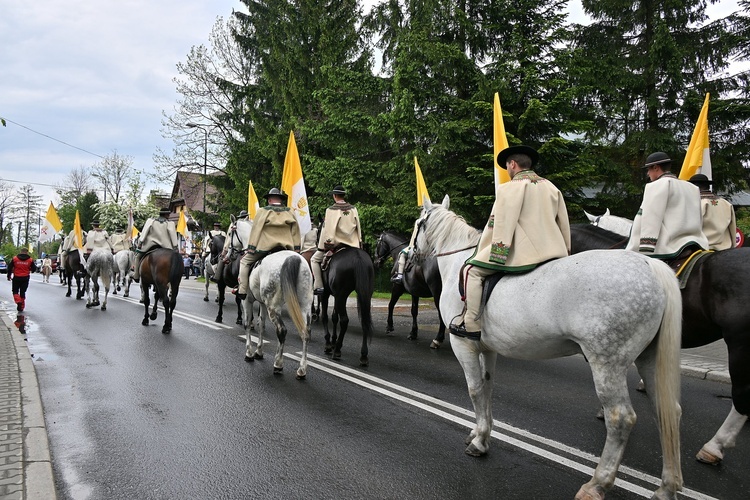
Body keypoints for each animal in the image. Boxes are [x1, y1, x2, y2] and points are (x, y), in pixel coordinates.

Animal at [418, 197, 688, 500]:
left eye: (418, 223)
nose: (411, 253)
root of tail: (650, 265)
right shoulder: (487, 349)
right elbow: (487, 389)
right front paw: (481, 434)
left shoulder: (463, 345)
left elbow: (475, 391)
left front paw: (479, 442)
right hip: (649, 360)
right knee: (667, 411)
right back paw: (666, 488)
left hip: (608, 364)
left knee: (621, 419)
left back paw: (597, 485)